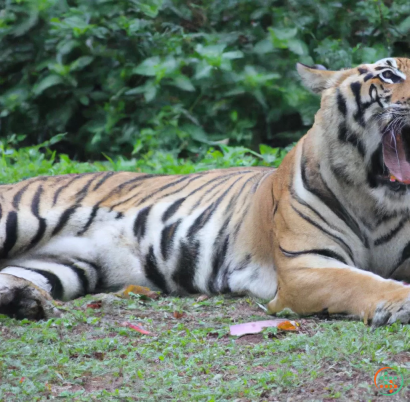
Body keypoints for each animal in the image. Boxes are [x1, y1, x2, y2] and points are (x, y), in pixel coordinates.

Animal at [1, 56, 410, 326]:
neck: (377, 203)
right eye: (390, 74)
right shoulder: (304, 265)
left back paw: (24, 301)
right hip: (17, 218)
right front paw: (401, 301)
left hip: (66, 266)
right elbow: (359, 281)